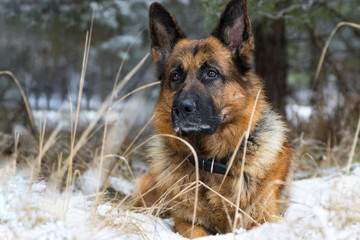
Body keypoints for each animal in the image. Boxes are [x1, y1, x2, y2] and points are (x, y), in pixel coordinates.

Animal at [135, 0, 292, 237]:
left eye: (211, 73)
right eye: (175, 76)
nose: (181, 108)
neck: (212, 161)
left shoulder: (266, 217)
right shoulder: (185, 222)